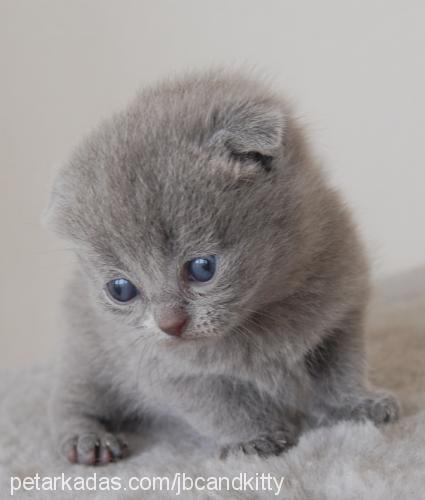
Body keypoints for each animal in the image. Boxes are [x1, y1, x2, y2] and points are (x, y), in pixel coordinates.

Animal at [45, 70, 398, 464]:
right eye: (121, 290)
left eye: (202, 268)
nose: (170, 325)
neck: (263, 317)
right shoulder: (167, 370)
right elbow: (222, 406)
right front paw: (254, 438)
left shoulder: (342, 317)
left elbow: (343, 371)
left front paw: (356, 404)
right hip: (87, 351)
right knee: (70, 398)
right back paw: (87, 438)